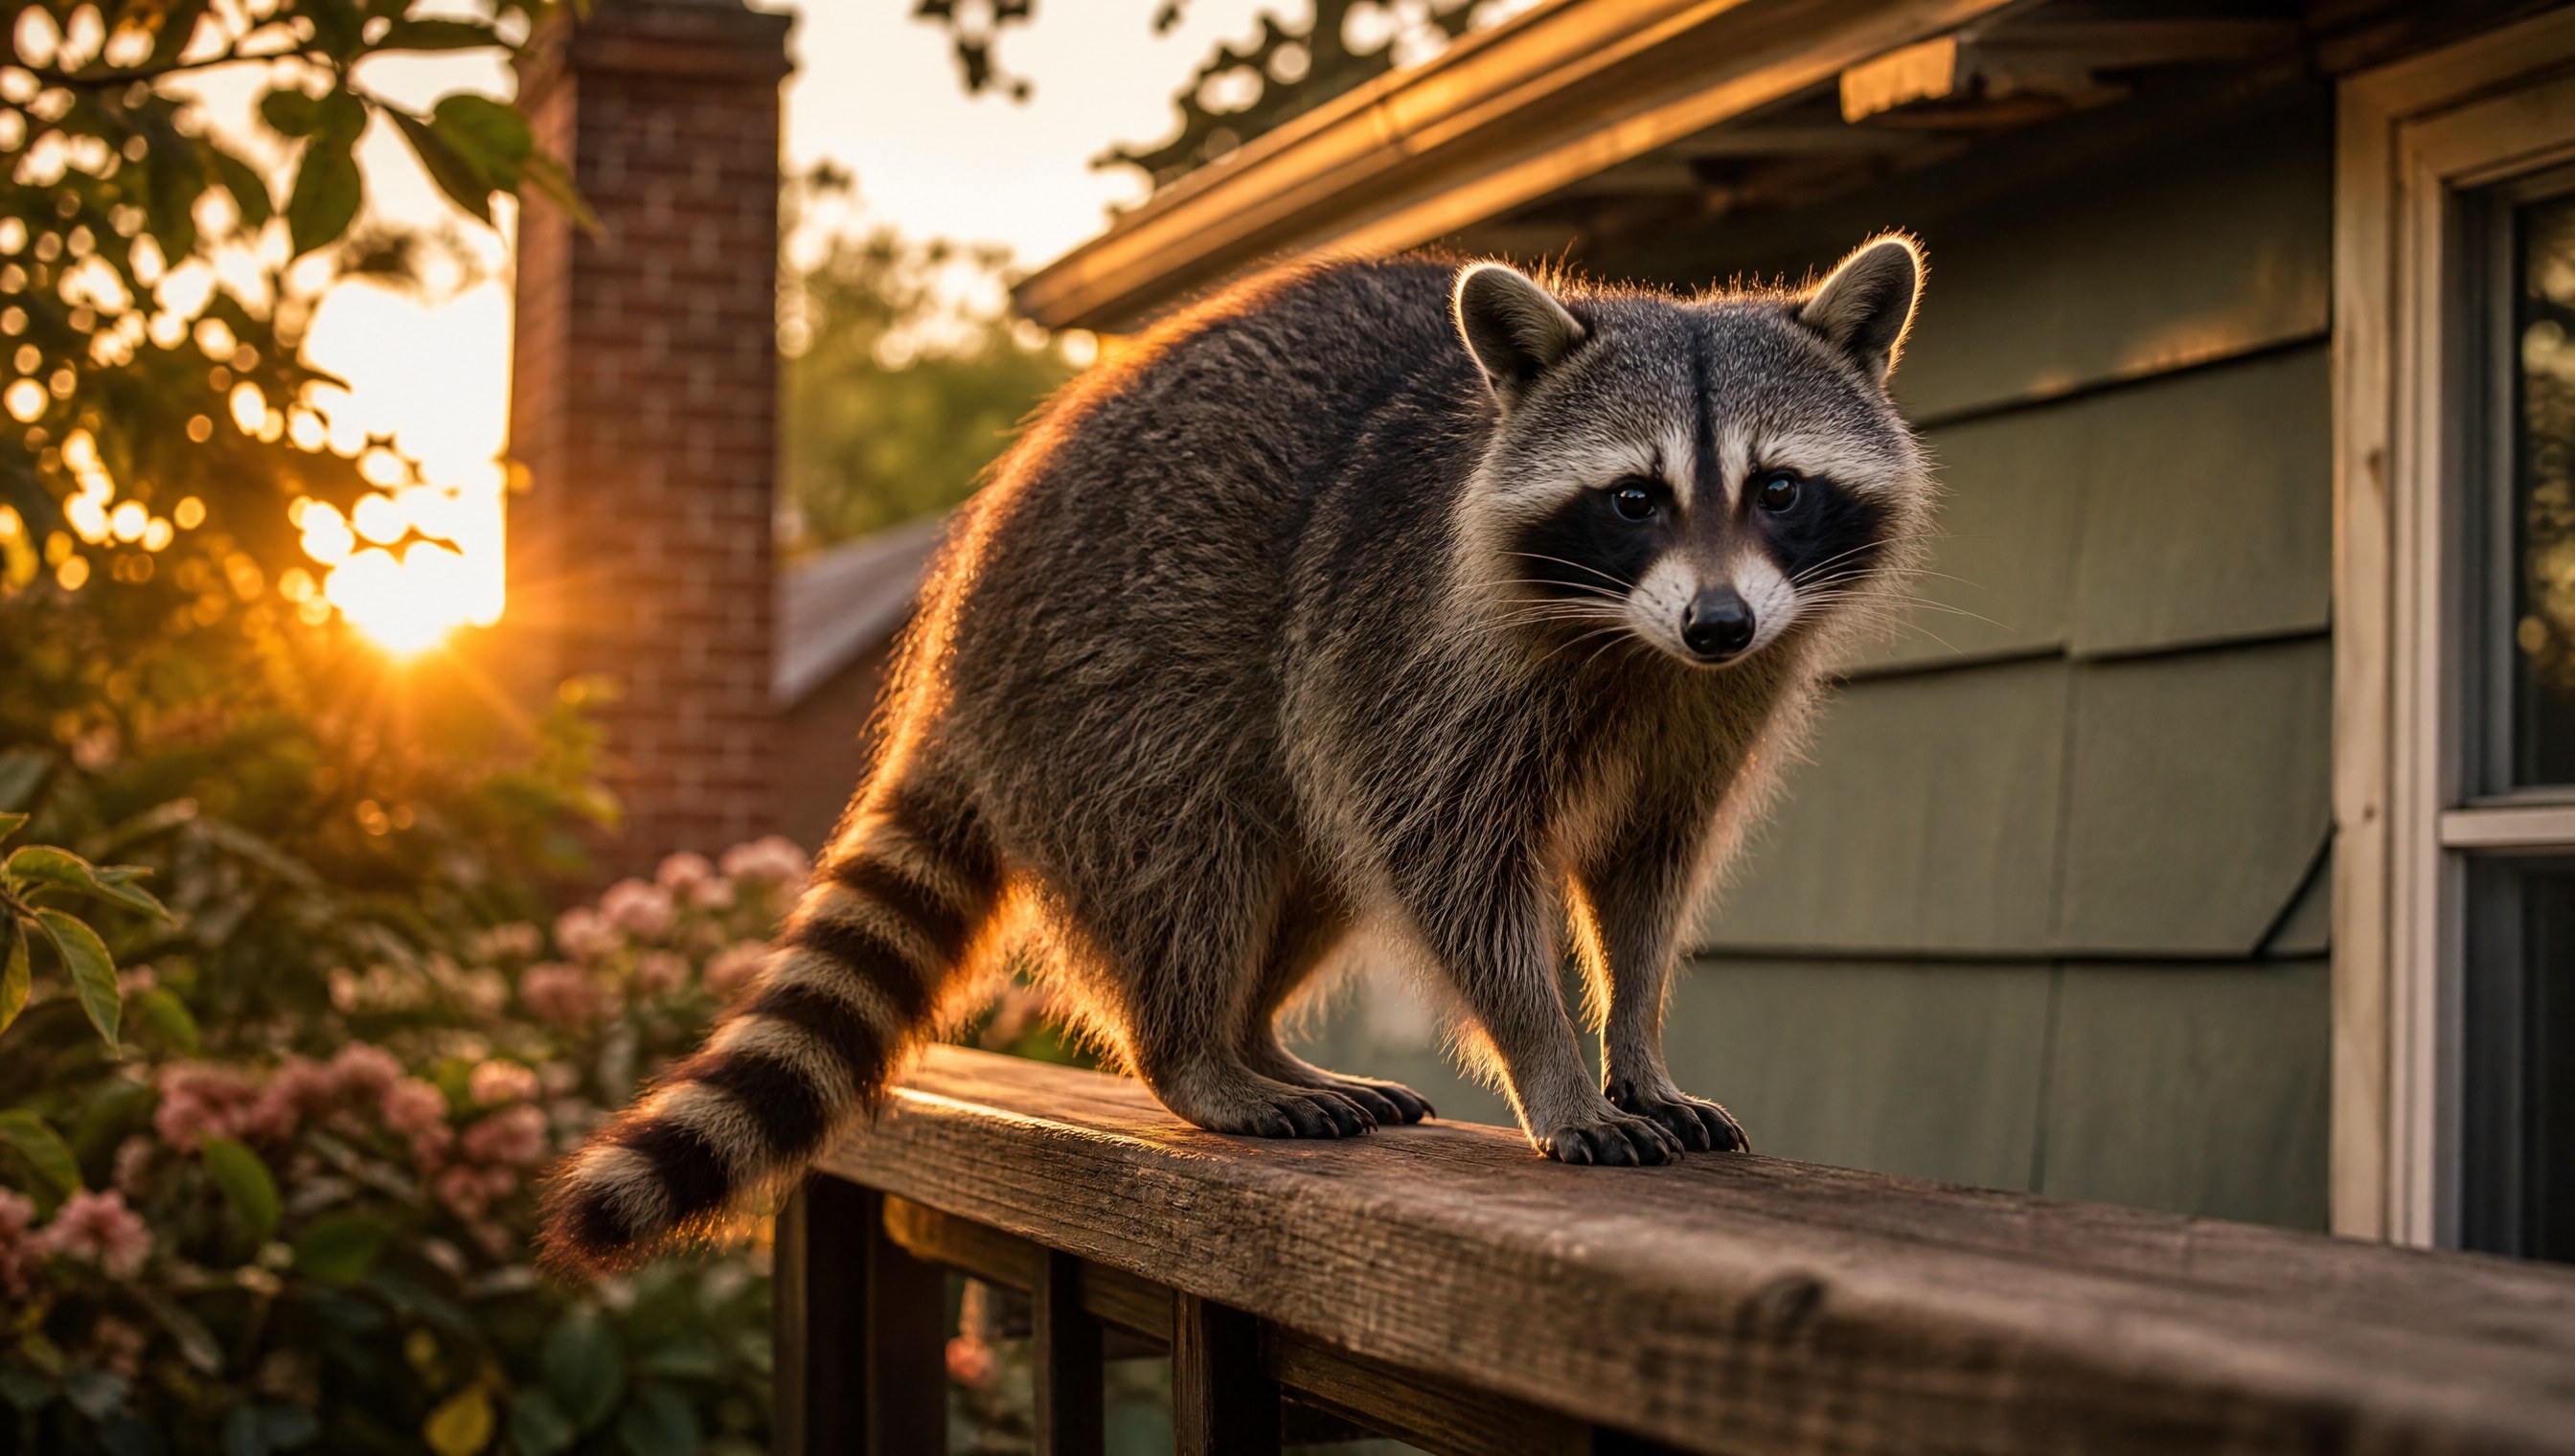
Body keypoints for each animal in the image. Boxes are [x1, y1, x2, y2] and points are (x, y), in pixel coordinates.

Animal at [541, 236, 1932, 1271]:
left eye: (1780, 488)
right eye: (1635, 497)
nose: (1719, 621)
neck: (1639, 647)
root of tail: (951, 636)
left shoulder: (1708, 708)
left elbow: (1646, 875)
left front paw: (1635, 1048)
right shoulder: (1417, 646)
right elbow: (1453, 868)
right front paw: (1552, 1064)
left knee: (1301, 874)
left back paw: (1258, 1034)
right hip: (1115, 680)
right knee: (1185, 866)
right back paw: (1201, 1055)